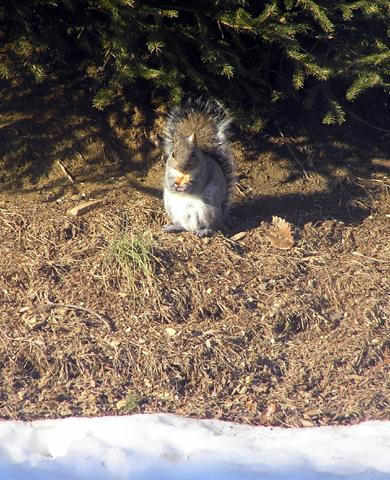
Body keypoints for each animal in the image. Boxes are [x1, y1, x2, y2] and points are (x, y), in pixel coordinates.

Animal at [161, 98, 235, 238]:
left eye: (193, 154)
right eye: (173, 154)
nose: (182, 167)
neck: (184, 174)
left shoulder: (204, 172)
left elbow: (197, 186)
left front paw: (187, 187)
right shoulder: (168, 171)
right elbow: (167, 182)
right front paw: (173, 186)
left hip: (208, 208)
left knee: (212, 226)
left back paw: (204, 230)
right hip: (171, 207)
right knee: (183, 226)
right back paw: (174, 227)